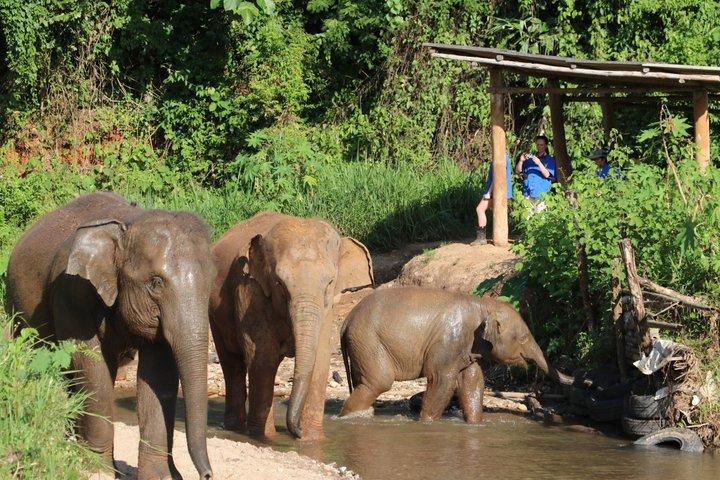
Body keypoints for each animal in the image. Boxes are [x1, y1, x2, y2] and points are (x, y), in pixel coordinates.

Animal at [5, 192, 214, 480]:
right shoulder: (72, 292)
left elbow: (158, 374)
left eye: (211, 282)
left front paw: (160, 476)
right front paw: (98, 469)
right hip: (16, 309)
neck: (129, 222)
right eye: (156, 283)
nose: (207, 475)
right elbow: (91, 365)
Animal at [209, 212, 373, 440]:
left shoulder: (327, 309)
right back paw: (235, 429)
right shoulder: (249, 289)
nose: (296, 431)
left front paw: (312, 439)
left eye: (330, 283)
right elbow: (262, 357)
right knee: (232, 364)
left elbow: (319, 359)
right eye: (279, 283)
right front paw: (265, 438)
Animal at [339, 286, 574, 422]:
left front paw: (475, 423)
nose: (574, 377)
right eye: (524, 337)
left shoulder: (466, 347)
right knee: (378, 382)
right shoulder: (447, 342)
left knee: (364, 382)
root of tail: (346, 320)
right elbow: (442, 381)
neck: (483, 304)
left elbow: (472, 380)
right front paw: (426, 423)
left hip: (361, 346)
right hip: (368, 341)